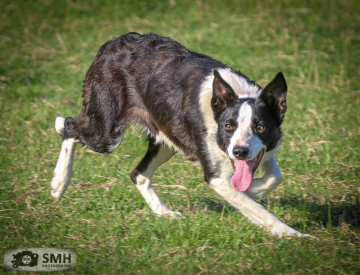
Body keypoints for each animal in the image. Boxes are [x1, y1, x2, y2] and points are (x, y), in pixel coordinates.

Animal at [50, 33, 310, 238]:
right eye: (228, 126)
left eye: (261, 127)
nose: (239, 151)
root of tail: (112, 43)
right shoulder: (216, 177)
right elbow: (259, 209)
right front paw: (295, 236)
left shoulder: (264, 149)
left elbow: (275, 176)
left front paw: (254, 189)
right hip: (107, 133)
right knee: (69, 127)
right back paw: (59, 183)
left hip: (167, 138)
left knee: (139, 174)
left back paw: (164, 213)